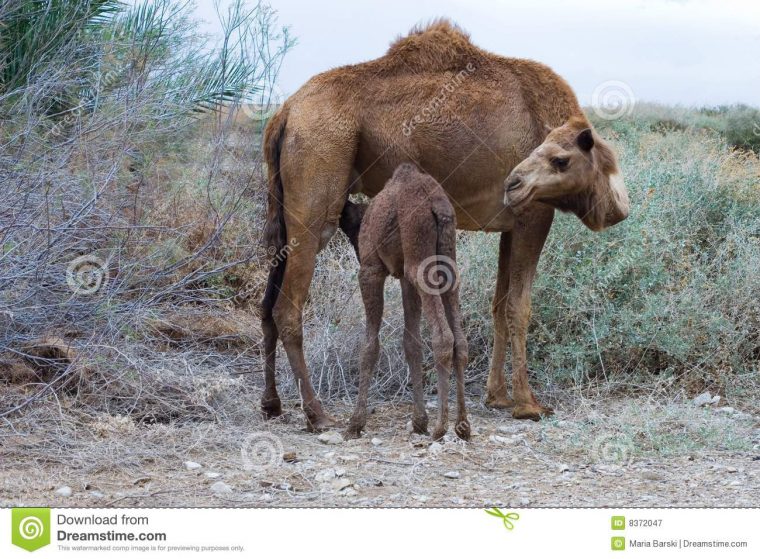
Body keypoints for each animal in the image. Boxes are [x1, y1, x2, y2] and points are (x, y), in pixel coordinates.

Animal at [344, 163, 470, 442]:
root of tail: (439, 207)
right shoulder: (404, 277)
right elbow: (411, 343)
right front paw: (419, 421)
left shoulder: (371, 269)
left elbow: (370, 346)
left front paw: (355, 423)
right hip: (448, 262)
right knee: (460, 340)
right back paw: (463, 426)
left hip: (420, 264)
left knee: (443, 336)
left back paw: (441, 426)